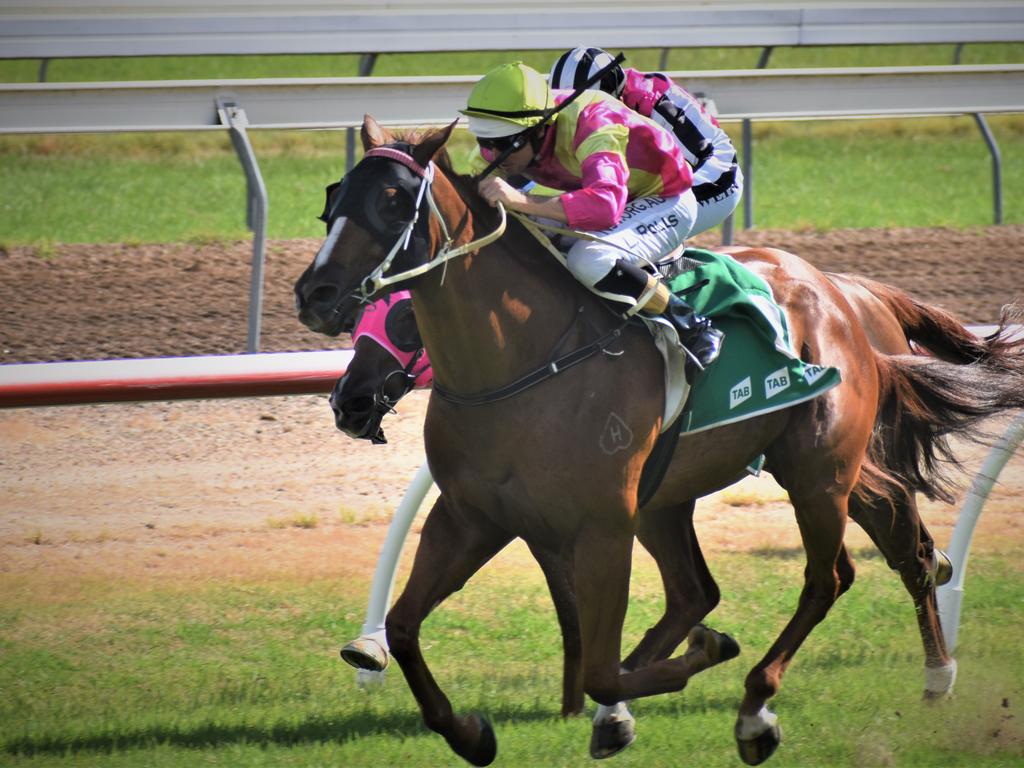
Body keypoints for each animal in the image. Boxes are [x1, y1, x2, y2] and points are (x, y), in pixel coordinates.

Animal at [296, 117, 1024, 765]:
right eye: (332, 199)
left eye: (394, 203)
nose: (315, 294)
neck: (520, 360)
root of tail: (843, 292)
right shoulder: (474, 516)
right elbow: (405, 626)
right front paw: (471, 733)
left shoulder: (601, 525)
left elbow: (599, 663)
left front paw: (696, 663)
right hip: (745, 483)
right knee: (845, 547)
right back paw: (933, 668)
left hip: (816, 472)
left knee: (828, 576)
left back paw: (761, 705)